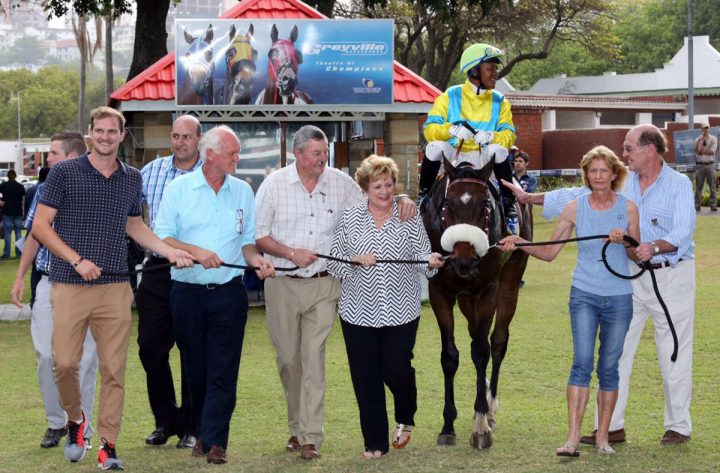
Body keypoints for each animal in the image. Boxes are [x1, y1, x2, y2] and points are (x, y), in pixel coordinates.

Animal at [424, 157, 532, 448]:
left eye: (485, 207)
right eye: (447, 206)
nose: (464, 260)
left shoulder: (487, 290)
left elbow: (482, 351)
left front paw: (481, 423)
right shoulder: (439, 291)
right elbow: (449, 356)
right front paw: (447, 425)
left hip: (510, 280)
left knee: (497, 341)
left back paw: (489, 404)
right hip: (466, 298)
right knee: (475, 335)